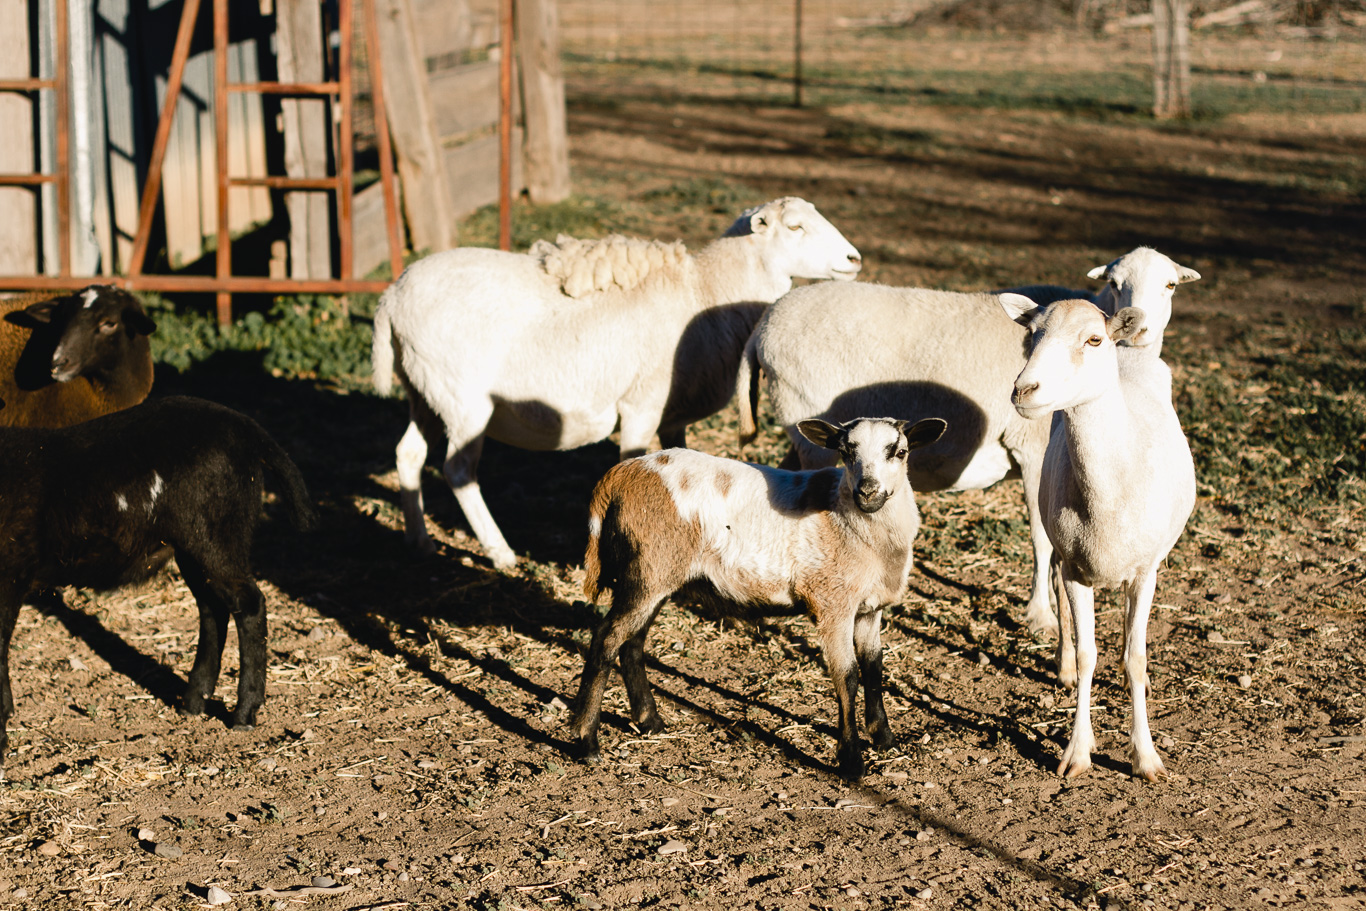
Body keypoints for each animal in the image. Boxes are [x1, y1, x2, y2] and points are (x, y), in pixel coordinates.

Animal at [371, 198, 863, 565]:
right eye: (796, 226)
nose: (854, 259)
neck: (705, 289)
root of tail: (390, 297)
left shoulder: (671, 414)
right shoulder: (641, 404)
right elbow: (631, 463)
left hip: (424, 391)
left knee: (408, 455)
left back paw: (418, 540)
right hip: (464, 400)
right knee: (457, 470)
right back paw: (500, 551)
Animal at [570, 417, 945, 781]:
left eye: (900, 451)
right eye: (845, 451)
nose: (867, 491)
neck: (855, 526)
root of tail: (619, 476)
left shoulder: (869, 609)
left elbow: (874, 667)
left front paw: (885, 738)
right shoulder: (833, 604)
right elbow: (848, 675)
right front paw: (852, 761)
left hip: (657, 576)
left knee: (632, 643)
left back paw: (649, 721)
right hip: (648, 570)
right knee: (606, 639)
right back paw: (586, 741)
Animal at [743, 245, 1202, 639]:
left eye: (1170, 285)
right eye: (1114, 282)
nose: (1140, 328)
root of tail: (762, 327)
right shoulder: (1033, 446)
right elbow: (1040, 536)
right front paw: (1041, 615)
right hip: (810, 430)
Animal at [994, 296, 1196, 781]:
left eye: (1093, 339)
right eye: (1033, 334)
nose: (1024, 390)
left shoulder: (1144, 572)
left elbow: (1136, 658)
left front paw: (1146, 757)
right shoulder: (1074, 568)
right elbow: (1089, 654)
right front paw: (1077, 752)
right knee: (1053, 582)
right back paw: (1063, 665)